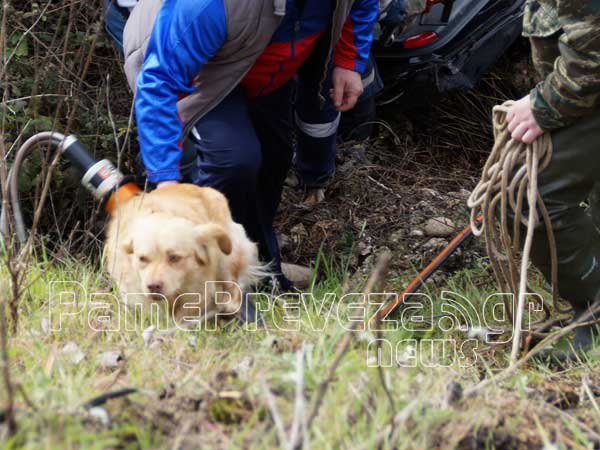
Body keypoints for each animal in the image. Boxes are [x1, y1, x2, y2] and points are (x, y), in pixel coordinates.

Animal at [104, 185, 266, 322]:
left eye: (175, 257)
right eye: (142, 258)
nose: (153, 286)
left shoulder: (197, 290)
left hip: (227, 257)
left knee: (233, 284)